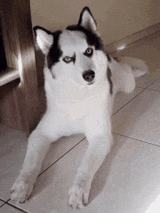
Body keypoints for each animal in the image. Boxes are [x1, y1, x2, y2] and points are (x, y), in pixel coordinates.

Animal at [10, 6, 148, 208]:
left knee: (127, 68)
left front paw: (79, 190)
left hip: (126, 82)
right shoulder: (40, 134)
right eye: (68, 59)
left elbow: (86, 167)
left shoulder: (100, 137)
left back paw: (137, 70)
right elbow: (31, 163)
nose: (90, 75)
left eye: (89, 51)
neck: (78, 95)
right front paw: (22, 185)